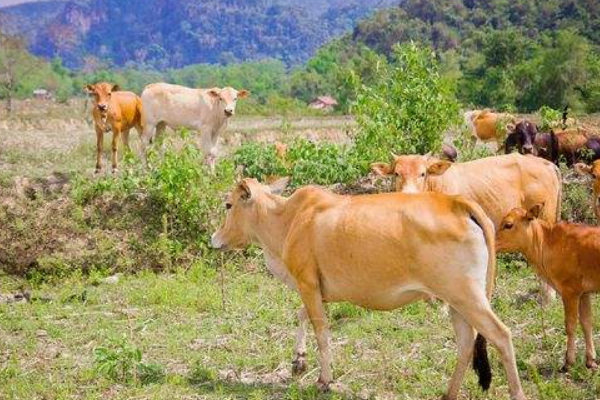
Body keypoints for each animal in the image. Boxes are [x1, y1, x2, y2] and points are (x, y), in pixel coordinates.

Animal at [210, 179, 524, 400]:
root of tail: (458, 202)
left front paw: (324, 380)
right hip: (456, 301)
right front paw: (298, 360)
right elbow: (301, 315)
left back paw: (516, 393)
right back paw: (449, 394)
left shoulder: (307, 283)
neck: (288, 219)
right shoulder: (316, 288)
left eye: (228, 205)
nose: (215, 238)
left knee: (501, 335)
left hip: (467, 296)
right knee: (466, 343)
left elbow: (321, 331)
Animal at [496, 206, 600, 372]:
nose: (492, 242)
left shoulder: (570, 291)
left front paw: (568, 362)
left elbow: (570, 325)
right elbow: (586, 323)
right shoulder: (584, 293)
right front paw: (591, 361)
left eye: (508, 224)